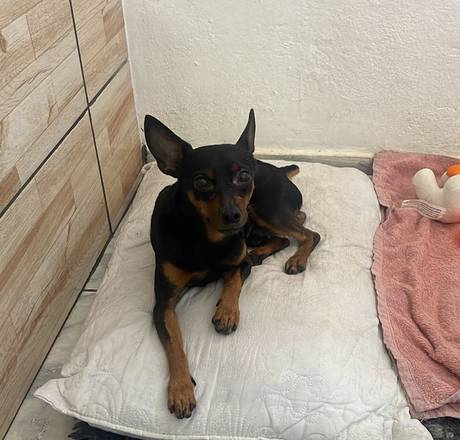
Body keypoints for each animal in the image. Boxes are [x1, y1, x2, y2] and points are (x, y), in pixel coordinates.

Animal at [144, 110, 321, 419]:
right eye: (202, 181)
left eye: (243, 176)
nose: (232, 216)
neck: (206, 236)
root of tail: (278, 170)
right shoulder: (163, 304)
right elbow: (175, 345)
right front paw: (181, 390)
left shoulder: (239, 264)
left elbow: (233, 280)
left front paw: (227, 312)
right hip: (260, 216)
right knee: (287, 235)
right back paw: (262, 252)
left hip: (266, 210)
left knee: (308, 233)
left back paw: (295, 259)